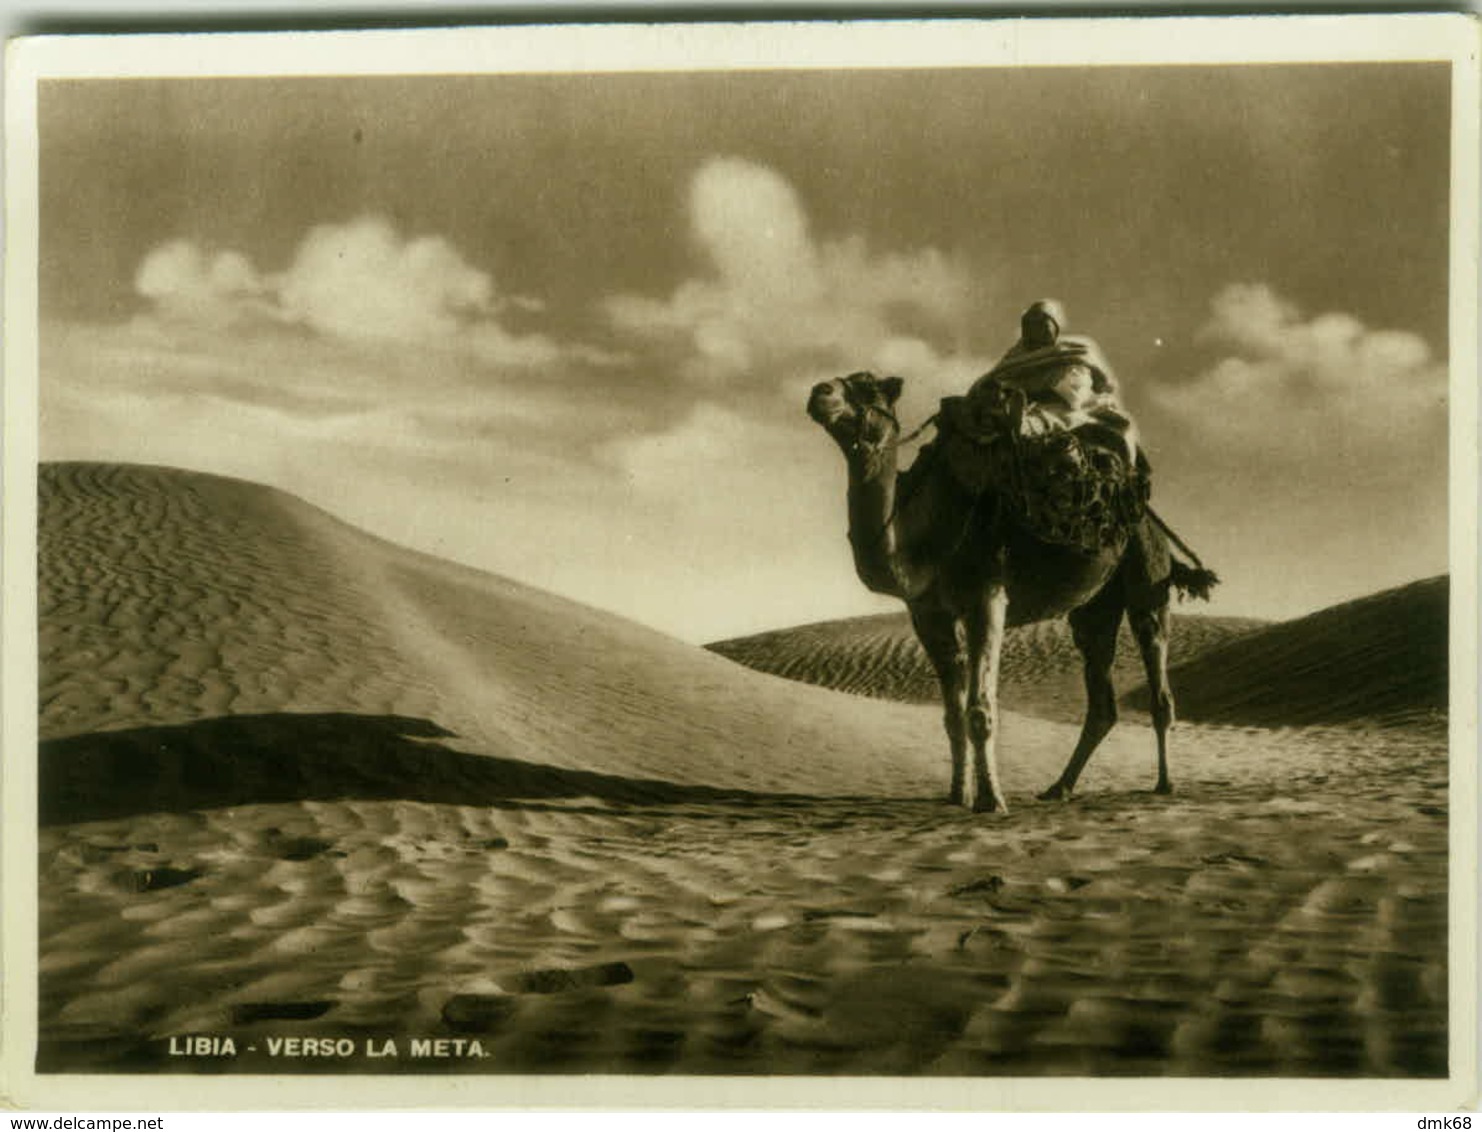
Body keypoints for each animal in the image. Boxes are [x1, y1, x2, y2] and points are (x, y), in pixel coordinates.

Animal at [812, 371, 1215, 811]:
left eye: (867, 387)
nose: (820, 392)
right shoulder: (928, 614)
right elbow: (952, 716)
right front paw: (957, 795)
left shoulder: (986, 596)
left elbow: (979, 711)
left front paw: (991, 801)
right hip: (1094, 607)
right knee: (1102, 699)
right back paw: (1059, 787)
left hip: (1147, 578)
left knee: (1157, 676)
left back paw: (1165, 783)